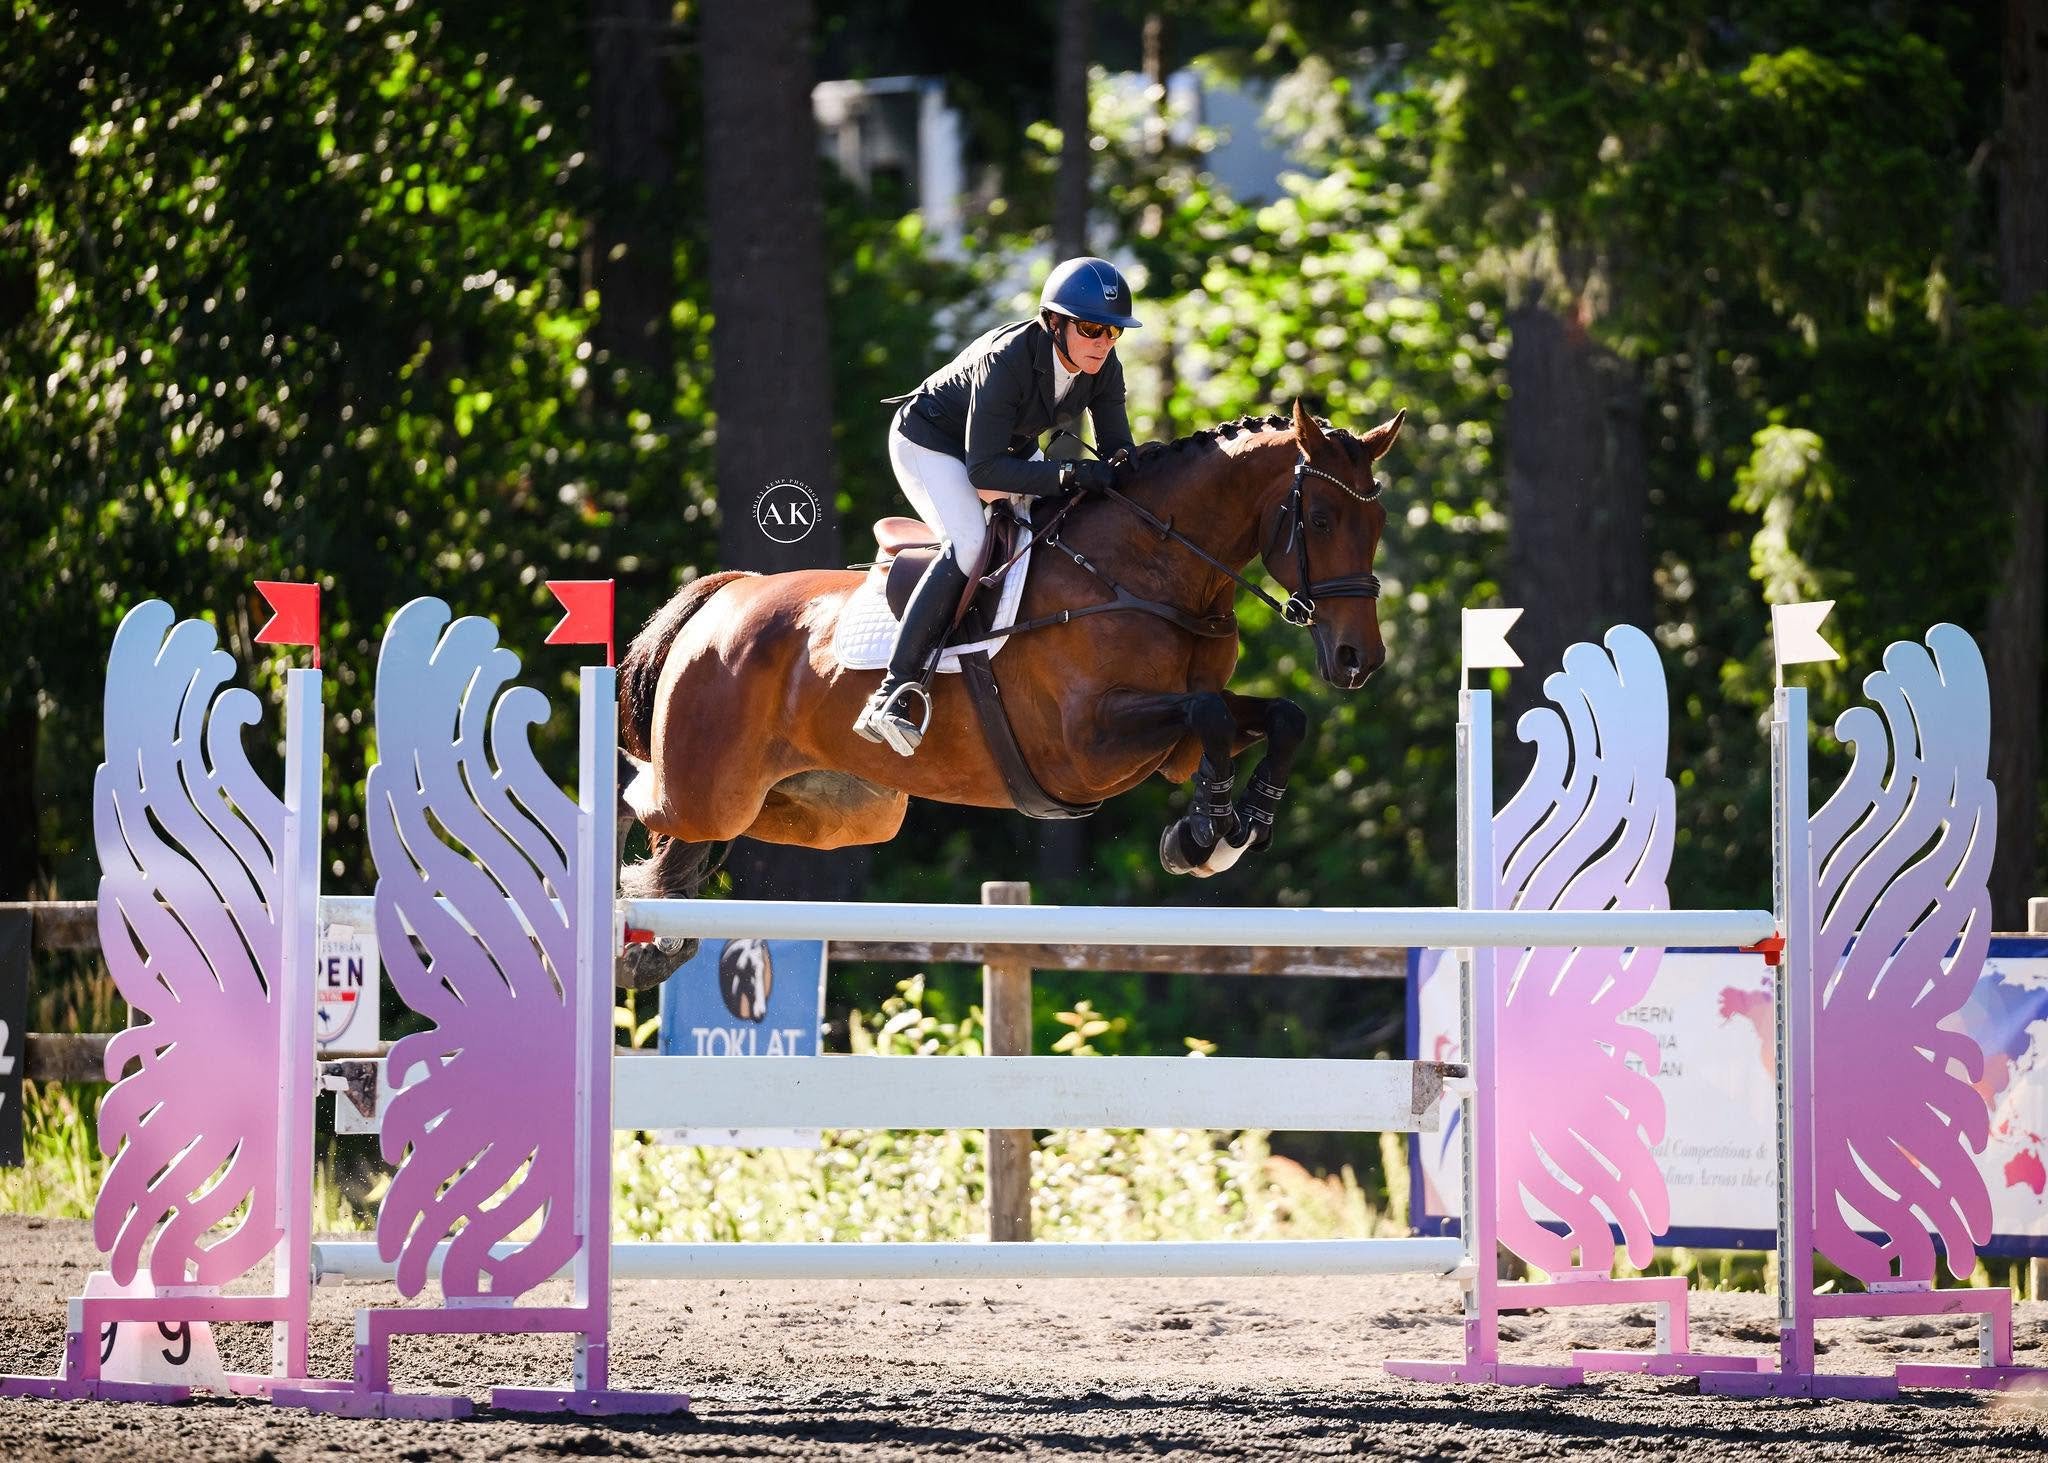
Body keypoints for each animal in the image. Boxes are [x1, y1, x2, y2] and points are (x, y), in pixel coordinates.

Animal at [615, 400, 1405, 987]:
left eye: (1379, 523)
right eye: (1322, 519)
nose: (1358, 659)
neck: (1145, 571)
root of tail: (728, 595)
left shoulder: (1169, 743)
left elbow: (1280, 716)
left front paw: (1236, 826)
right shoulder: (1085, 748)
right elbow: (1208, 713)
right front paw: (1204, 835)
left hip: (835, 810)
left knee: (695, 838)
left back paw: (653, 940)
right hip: (709, 787)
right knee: (640, 800)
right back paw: (631, 920)